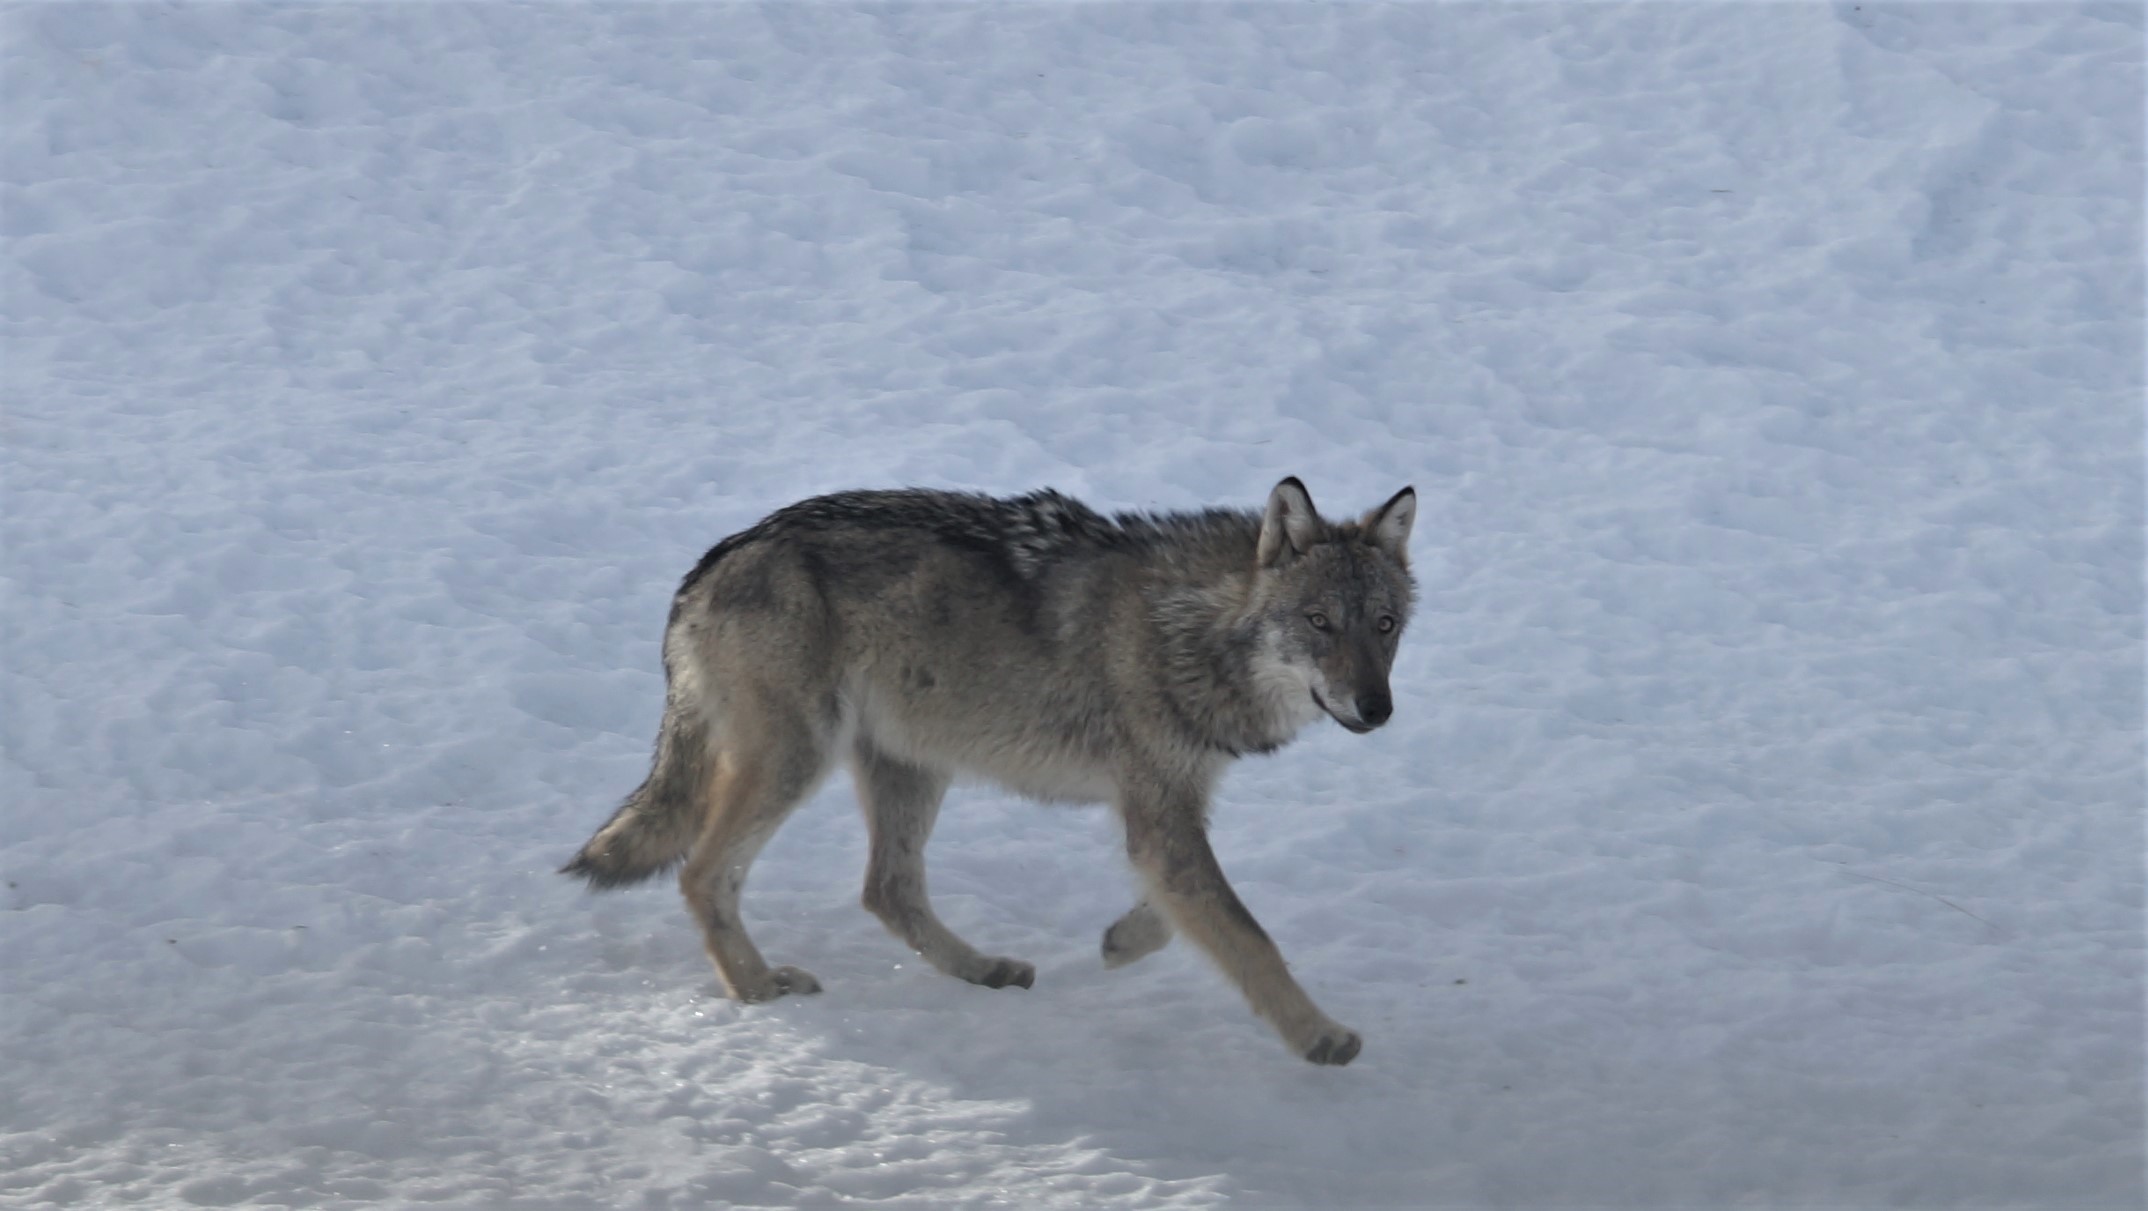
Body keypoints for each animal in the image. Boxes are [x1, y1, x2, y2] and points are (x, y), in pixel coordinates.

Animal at [563, 477, 1415, 1065]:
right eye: (1319, 622)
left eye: (1384, 625)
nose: (1377, 708)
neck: (1190, 625)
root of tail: (709, 565)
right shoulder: (1160, 813)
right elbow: (1250, 936)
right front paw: (1320, 1035)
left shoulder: (1167, 812)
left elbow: (1184, 914)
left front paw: (1120, 939)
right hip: (799, 762)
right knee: (704, 872)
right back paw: (758, 988)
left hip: (909, 766)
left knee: (887, 888)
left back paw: (981, 969)